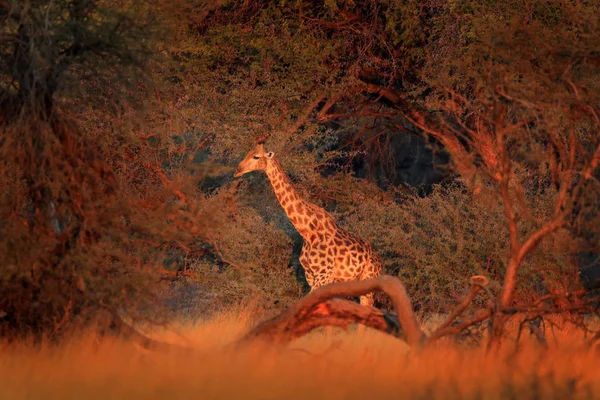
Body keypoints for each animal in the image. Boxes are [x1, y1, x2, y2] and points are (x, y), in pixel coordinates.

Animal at [232, 136, 382, 304]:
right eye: (248, 152)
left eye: (256, 156)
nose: (237, 170)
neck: (307, 231)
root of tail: (380, 264)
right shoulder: (311, 276)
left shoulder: (325, 275)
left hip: (368, 284)